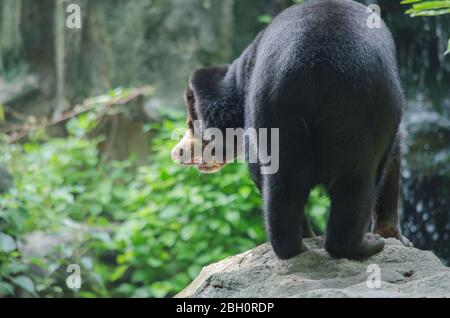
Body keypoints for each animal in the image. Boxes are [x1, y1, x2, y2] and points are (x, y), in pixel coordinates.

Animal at [171, 0, 410, 260]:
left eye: (190, 125)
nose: (176, 153)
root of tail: (316, 62)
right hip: (350, 109)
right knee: (345, 183)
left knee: (288, 185)